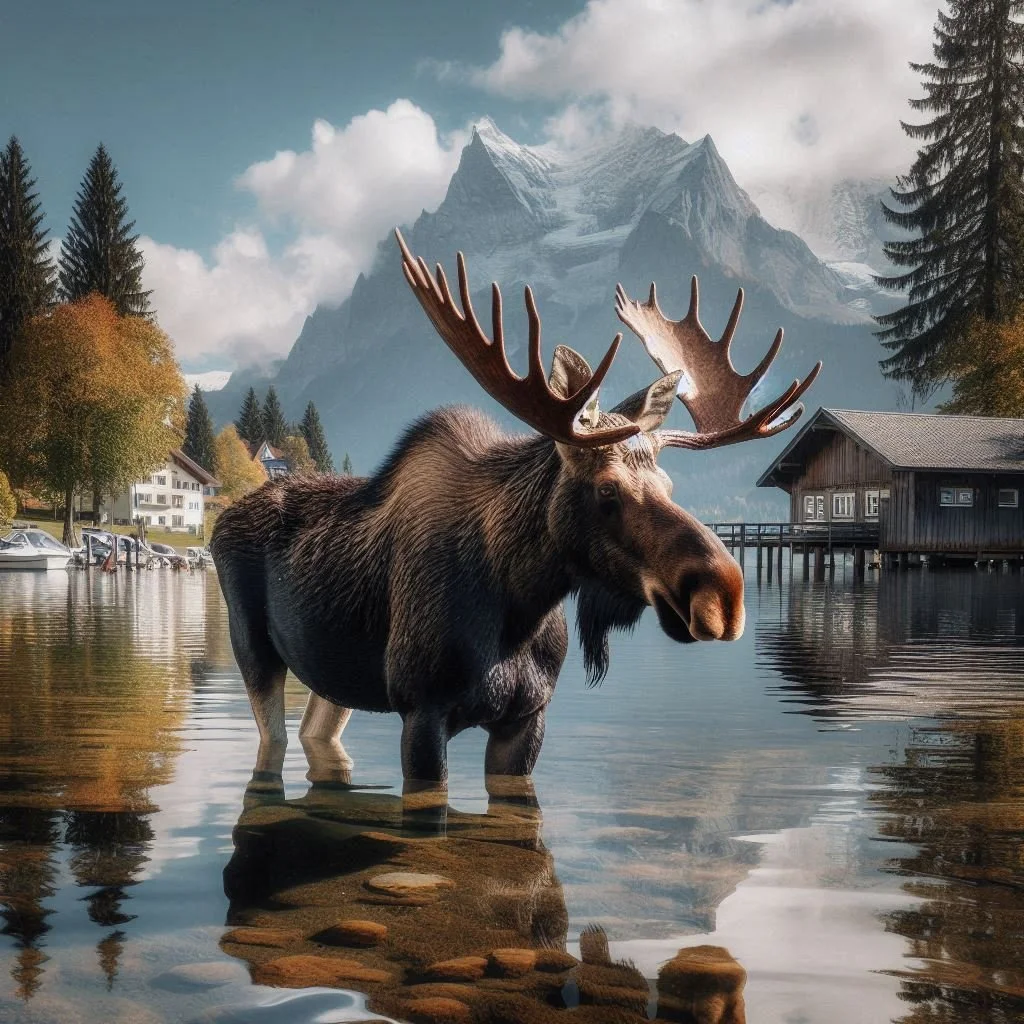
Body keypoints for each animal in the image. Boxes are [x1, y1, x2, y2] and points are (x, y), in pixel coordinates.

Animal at [210, 230, 820, 785]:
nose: (724, 595)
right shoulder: (422, 710)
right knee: (272, 738)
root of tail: (221, 521)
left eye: (669, 484)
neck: (518, 603)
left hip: (333, 678)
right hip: (254, 651)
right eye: (606, 490)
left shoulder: (527, 718)